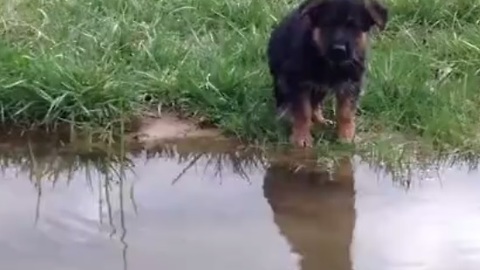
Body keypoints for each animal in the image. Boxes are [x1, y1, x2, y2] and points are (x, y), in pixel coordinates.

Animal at [268, 0, 388, 147]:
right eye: (328, 24)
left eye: (353, 27)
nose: (339, 49)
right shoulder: (297, 83)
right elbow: (303, 112)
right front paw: (301, 137)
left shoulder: (351, 83)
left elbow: (345, 112)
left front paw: (347, 137)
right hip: (282, 80)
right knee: (286, 102)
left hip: (320, 88)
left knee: (315, 105)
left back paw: (320, 121)